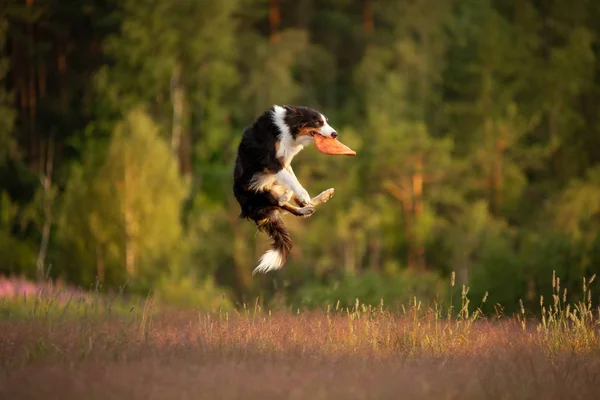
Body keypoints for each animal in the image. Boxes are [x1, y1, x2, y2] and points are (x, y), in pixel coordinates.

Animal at [233, 105, 338, 276]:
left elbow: (292, 178)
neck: (288, 128)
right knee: (284, 207)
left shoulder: (285, 162)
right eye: (318, 122)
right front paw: (299, 194)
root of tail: (247, 211)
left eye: (326, 121)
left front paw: (292, 194)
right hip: (261, 193)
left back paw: (321, 197)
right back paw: (301, 205)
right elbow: (290, 179)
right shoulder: (271, 161)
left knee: (292, 205)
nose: (335, 134)